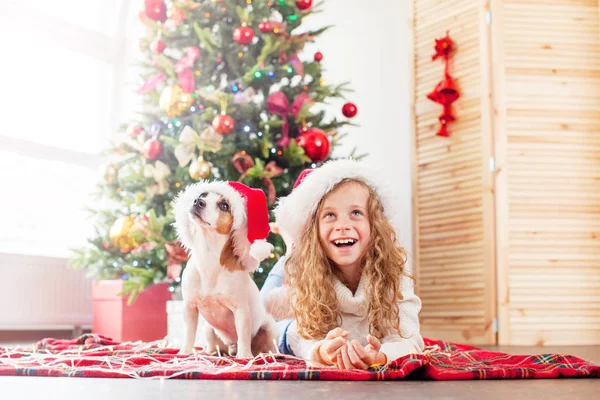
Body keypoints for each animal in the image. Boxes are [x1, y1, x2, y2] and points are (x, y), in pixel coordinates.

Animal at [172, 180, 278, 358]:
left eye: (224, 205)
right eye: (202, 195)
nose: (198, 201)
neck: (208, 255)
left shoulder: (241, 310)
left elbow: (243, 336)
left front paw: (244, 357)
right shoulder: (190, 307)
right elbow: (189, 333)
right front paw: (184, 352)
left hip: (269, 327)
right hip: (208, 329)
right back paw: (212, 352)